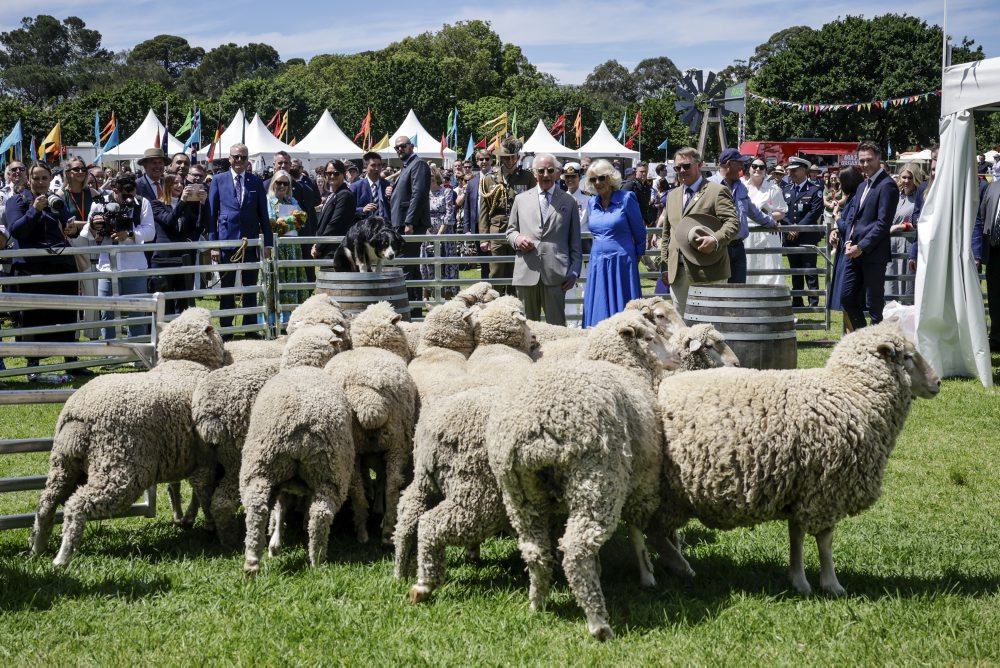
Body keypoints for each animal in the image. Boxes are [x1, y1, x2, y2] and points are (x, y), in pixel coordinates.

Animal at [30, 310, 229, 568]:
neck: (186, 364)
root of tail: (79, 414)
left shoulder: (186, 454)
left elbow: (181, 488)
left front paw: (184, 518)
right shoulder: (205, 457)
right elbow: (205, 493)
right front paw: (209, 524)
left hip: (64, 463)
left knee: (46, 502)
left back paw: (38, 547)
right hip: (120, 467)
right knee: (77, 505)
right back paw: (62, 557)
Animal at [486, 310, 676, 640]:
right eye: (651, 337)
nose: (676, 358)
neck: (621, 365)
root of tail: (536, 427)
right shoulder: (641, 480)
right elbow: (636, 532)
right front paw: (647, 574)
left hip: (519, 493)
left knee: (535, 551)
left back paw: (537, 603)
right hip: (597, 479)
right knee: (577, 550)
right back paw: (599, 624)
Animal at [652, 322, 940, 596]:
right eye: (908, 356)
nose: (937, 383)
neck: (852, 392)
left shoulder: (800, 486)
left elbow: (796, 536)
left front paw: (798, 578)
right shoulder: (826, 488)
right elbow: (824, 541)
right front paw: (830, 584)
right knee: (652, 531)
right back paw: (677, 565)